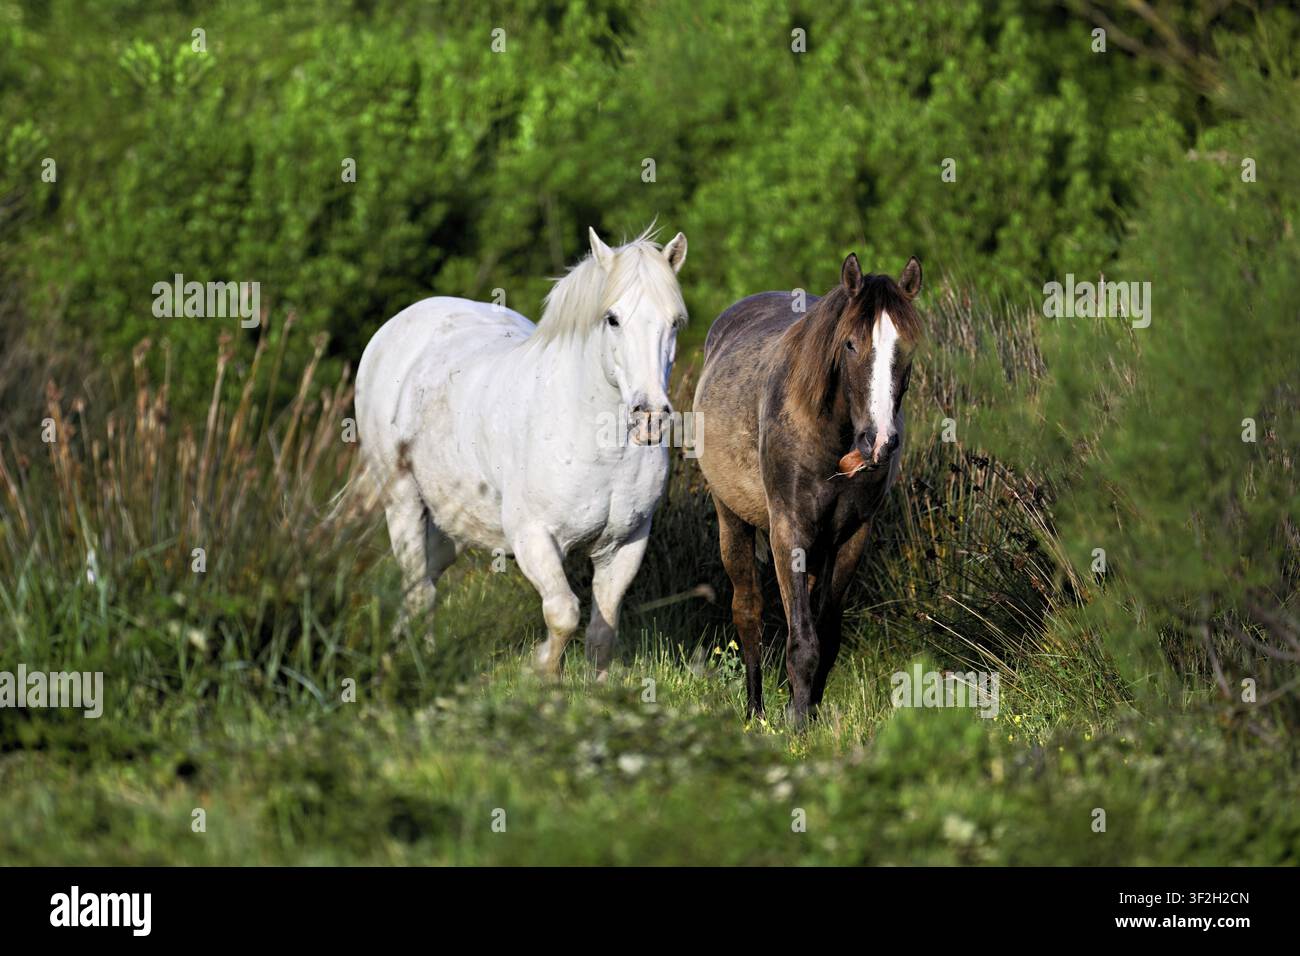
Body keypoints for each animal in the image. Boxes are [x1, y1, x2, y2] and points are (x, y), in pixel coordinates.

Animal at [355, 225, 689, 677]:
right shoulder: (533, 536)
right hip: (403, 500)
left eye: (674, 322)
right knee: (418, 587)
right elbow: (564, 612)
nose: (650, 416)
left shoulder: (625, 542)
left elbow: (603, 631)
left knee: (426, 579)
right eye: (613, 319)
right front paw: (541, 671)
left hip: (450, 519)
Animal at [693, 253, 922, 725]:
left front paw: (807, 715)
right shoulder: (789, 531)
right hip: (732, 520)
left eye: (906, 348)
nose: (879, 441)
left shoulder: (852, 536)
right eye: (850, 344)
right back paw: (756, 711)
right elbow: (802, 641)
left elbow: (825, 635)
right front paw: (798, 728)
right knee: (748, 612)